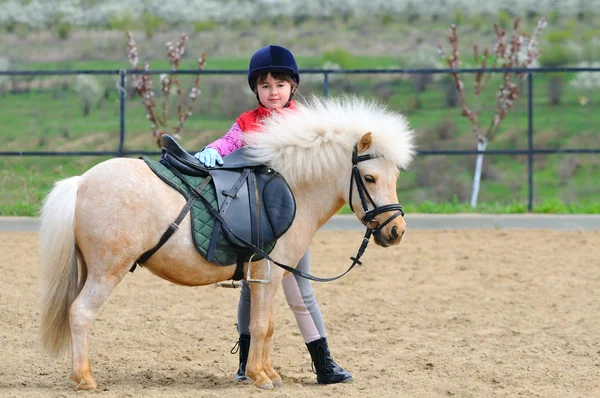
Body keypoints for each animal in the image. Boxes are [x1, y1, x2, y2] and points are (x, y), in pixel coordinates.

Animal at [36, 95, 412, 388]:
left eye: (394, 176)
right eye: (369, 178)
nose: (396, 231)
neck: (292, 186)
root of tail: (81, 182)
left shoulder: (268, 276)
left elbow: (268, 326)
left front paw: (269, 373)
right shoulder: (268, 274)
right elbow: (260, 325)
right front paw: (261, 377)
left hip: (90, 269)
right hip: (107, 272)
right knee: (80, 313)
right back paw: (84, 378)